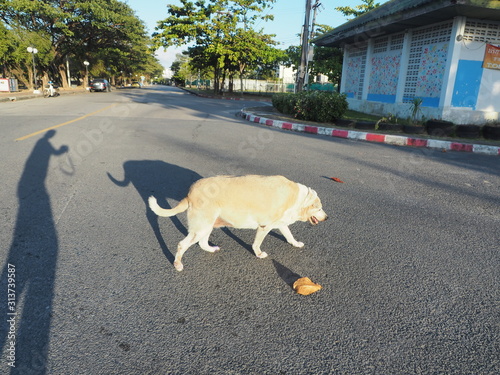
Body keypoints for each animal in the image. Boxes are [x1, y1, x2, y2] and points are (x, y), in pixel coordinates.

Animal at [148, 175, 328, 272]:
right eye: (320, 208)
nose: (327, 218)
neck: (298, 198)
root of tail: (190, 193)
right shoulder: (265, 226)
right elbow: (257, 243)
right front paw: (258, 253)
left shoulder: (281, 223)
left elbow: (289, 235)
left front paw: (295, 243)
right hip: (202, 226)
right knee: (182, 244)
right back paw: (177, 264)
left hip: (207, 225)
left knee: (202, 243)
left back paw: (211, 249)